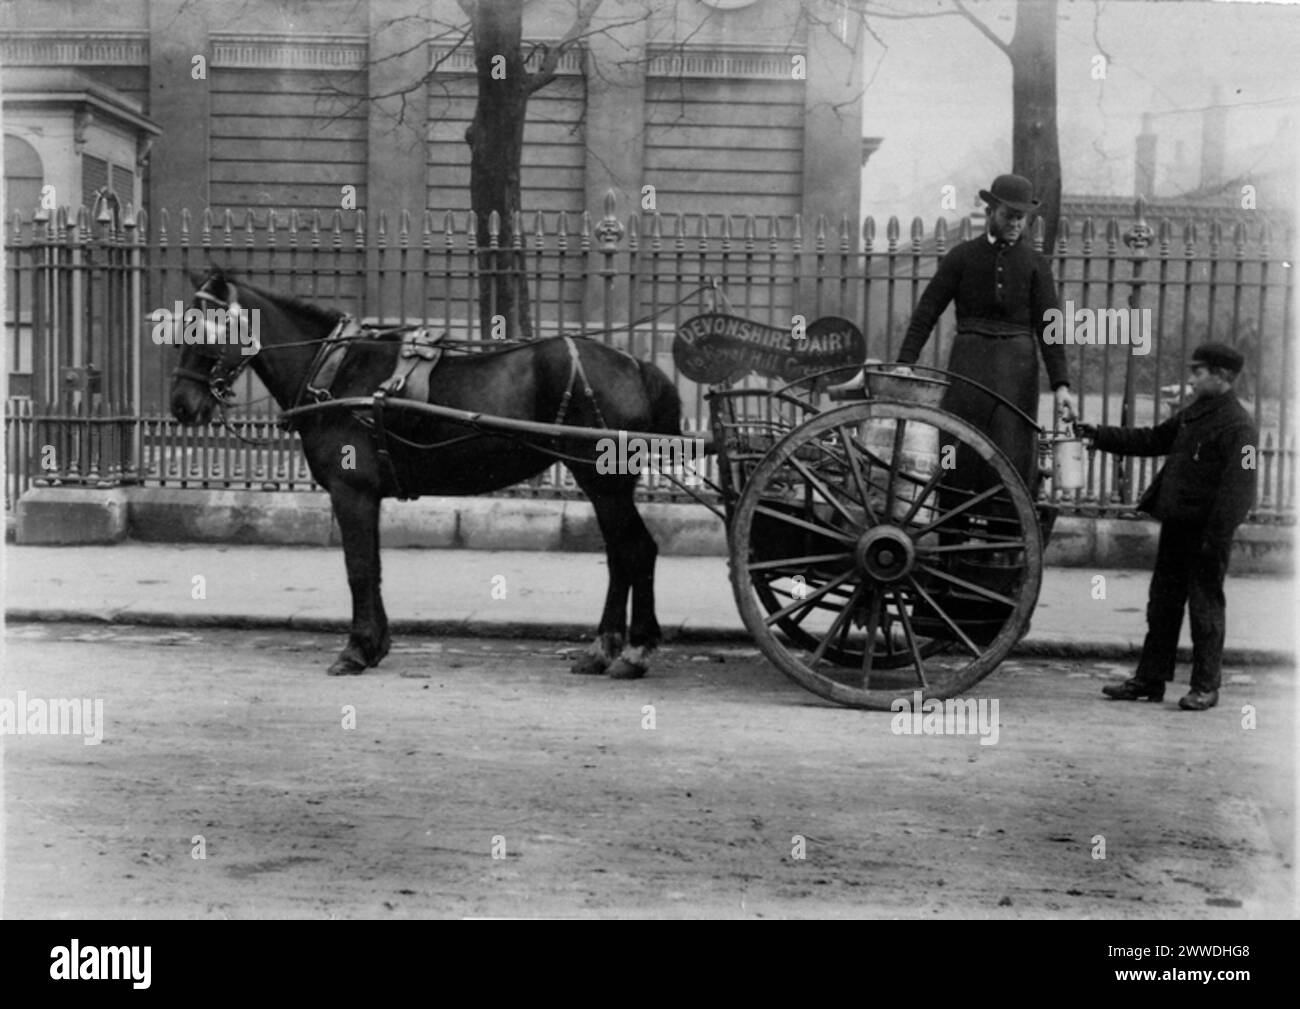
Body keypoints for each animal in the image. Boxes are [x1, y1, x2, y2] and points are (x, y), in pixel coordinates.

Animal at [167, 267, 686, 676]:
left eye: (203, 328)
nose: (181, 405)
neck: (335, 369)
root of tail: (634, 363)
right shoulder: (366, 494)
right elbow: (373, 568)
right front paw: (375, 645)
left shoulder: (351, 491)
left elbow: (358, 568)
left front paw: (356, 650)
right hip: (601, 484)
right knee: (622, 555)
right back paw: (606, 649)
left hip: (603, 482)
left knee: (635, 551)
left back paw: (633, 650)